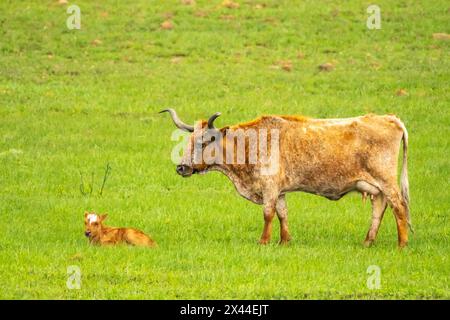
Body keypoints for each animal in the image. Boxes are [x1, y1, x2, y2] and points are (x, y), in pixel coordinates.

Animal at [161, 109, 412, 246]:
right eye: (189, 141)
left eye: (204, 142)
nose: (181, 167)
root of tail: (391, 118)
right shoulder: (279, 190)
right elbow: (282, 213)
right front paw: (284, 241)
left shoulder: (270, 188)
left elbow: (268, 213)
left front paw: (263, 241)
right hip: (375, 187)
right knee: (379, 209)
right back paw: (368, 242)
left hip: (387, 181)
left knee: (399, 207)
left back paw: (402, 244)